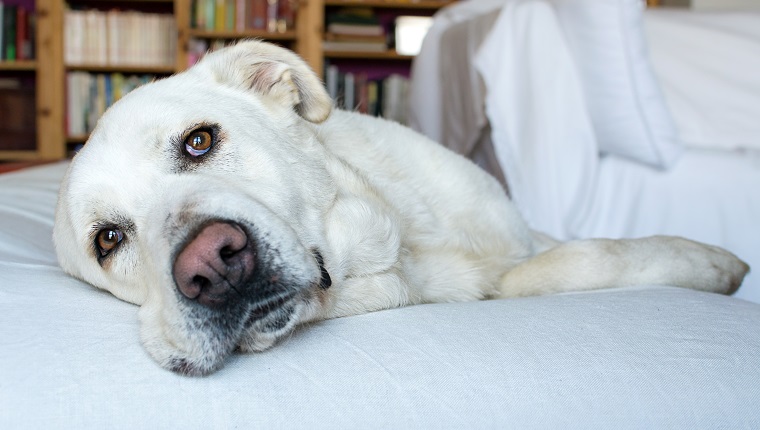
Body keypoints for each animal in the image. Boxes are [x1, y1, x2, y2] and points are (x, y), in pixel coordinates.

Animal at [52, 41, 748, 376]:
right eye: (108, 240)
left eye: (199, 141)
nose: (212, 266)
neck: (399, 254)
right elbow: (572, 261)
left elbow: (576, 249)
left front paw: (710, 261)